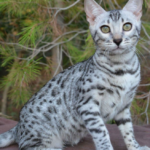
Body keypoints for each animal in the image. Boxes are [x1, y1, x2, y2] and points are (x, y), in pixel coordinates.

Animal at [0, 0, 150, 150]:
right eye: (105, 29)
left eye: (127, 26)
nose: (118, 40)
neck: (122, 67)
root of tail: (18, 126)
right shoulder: (88, 104)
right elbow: (101, 131)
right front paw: (106, 147)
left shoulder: (124, 105)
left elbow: (128, 130)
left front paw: (135, 147)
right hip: (40, 137)